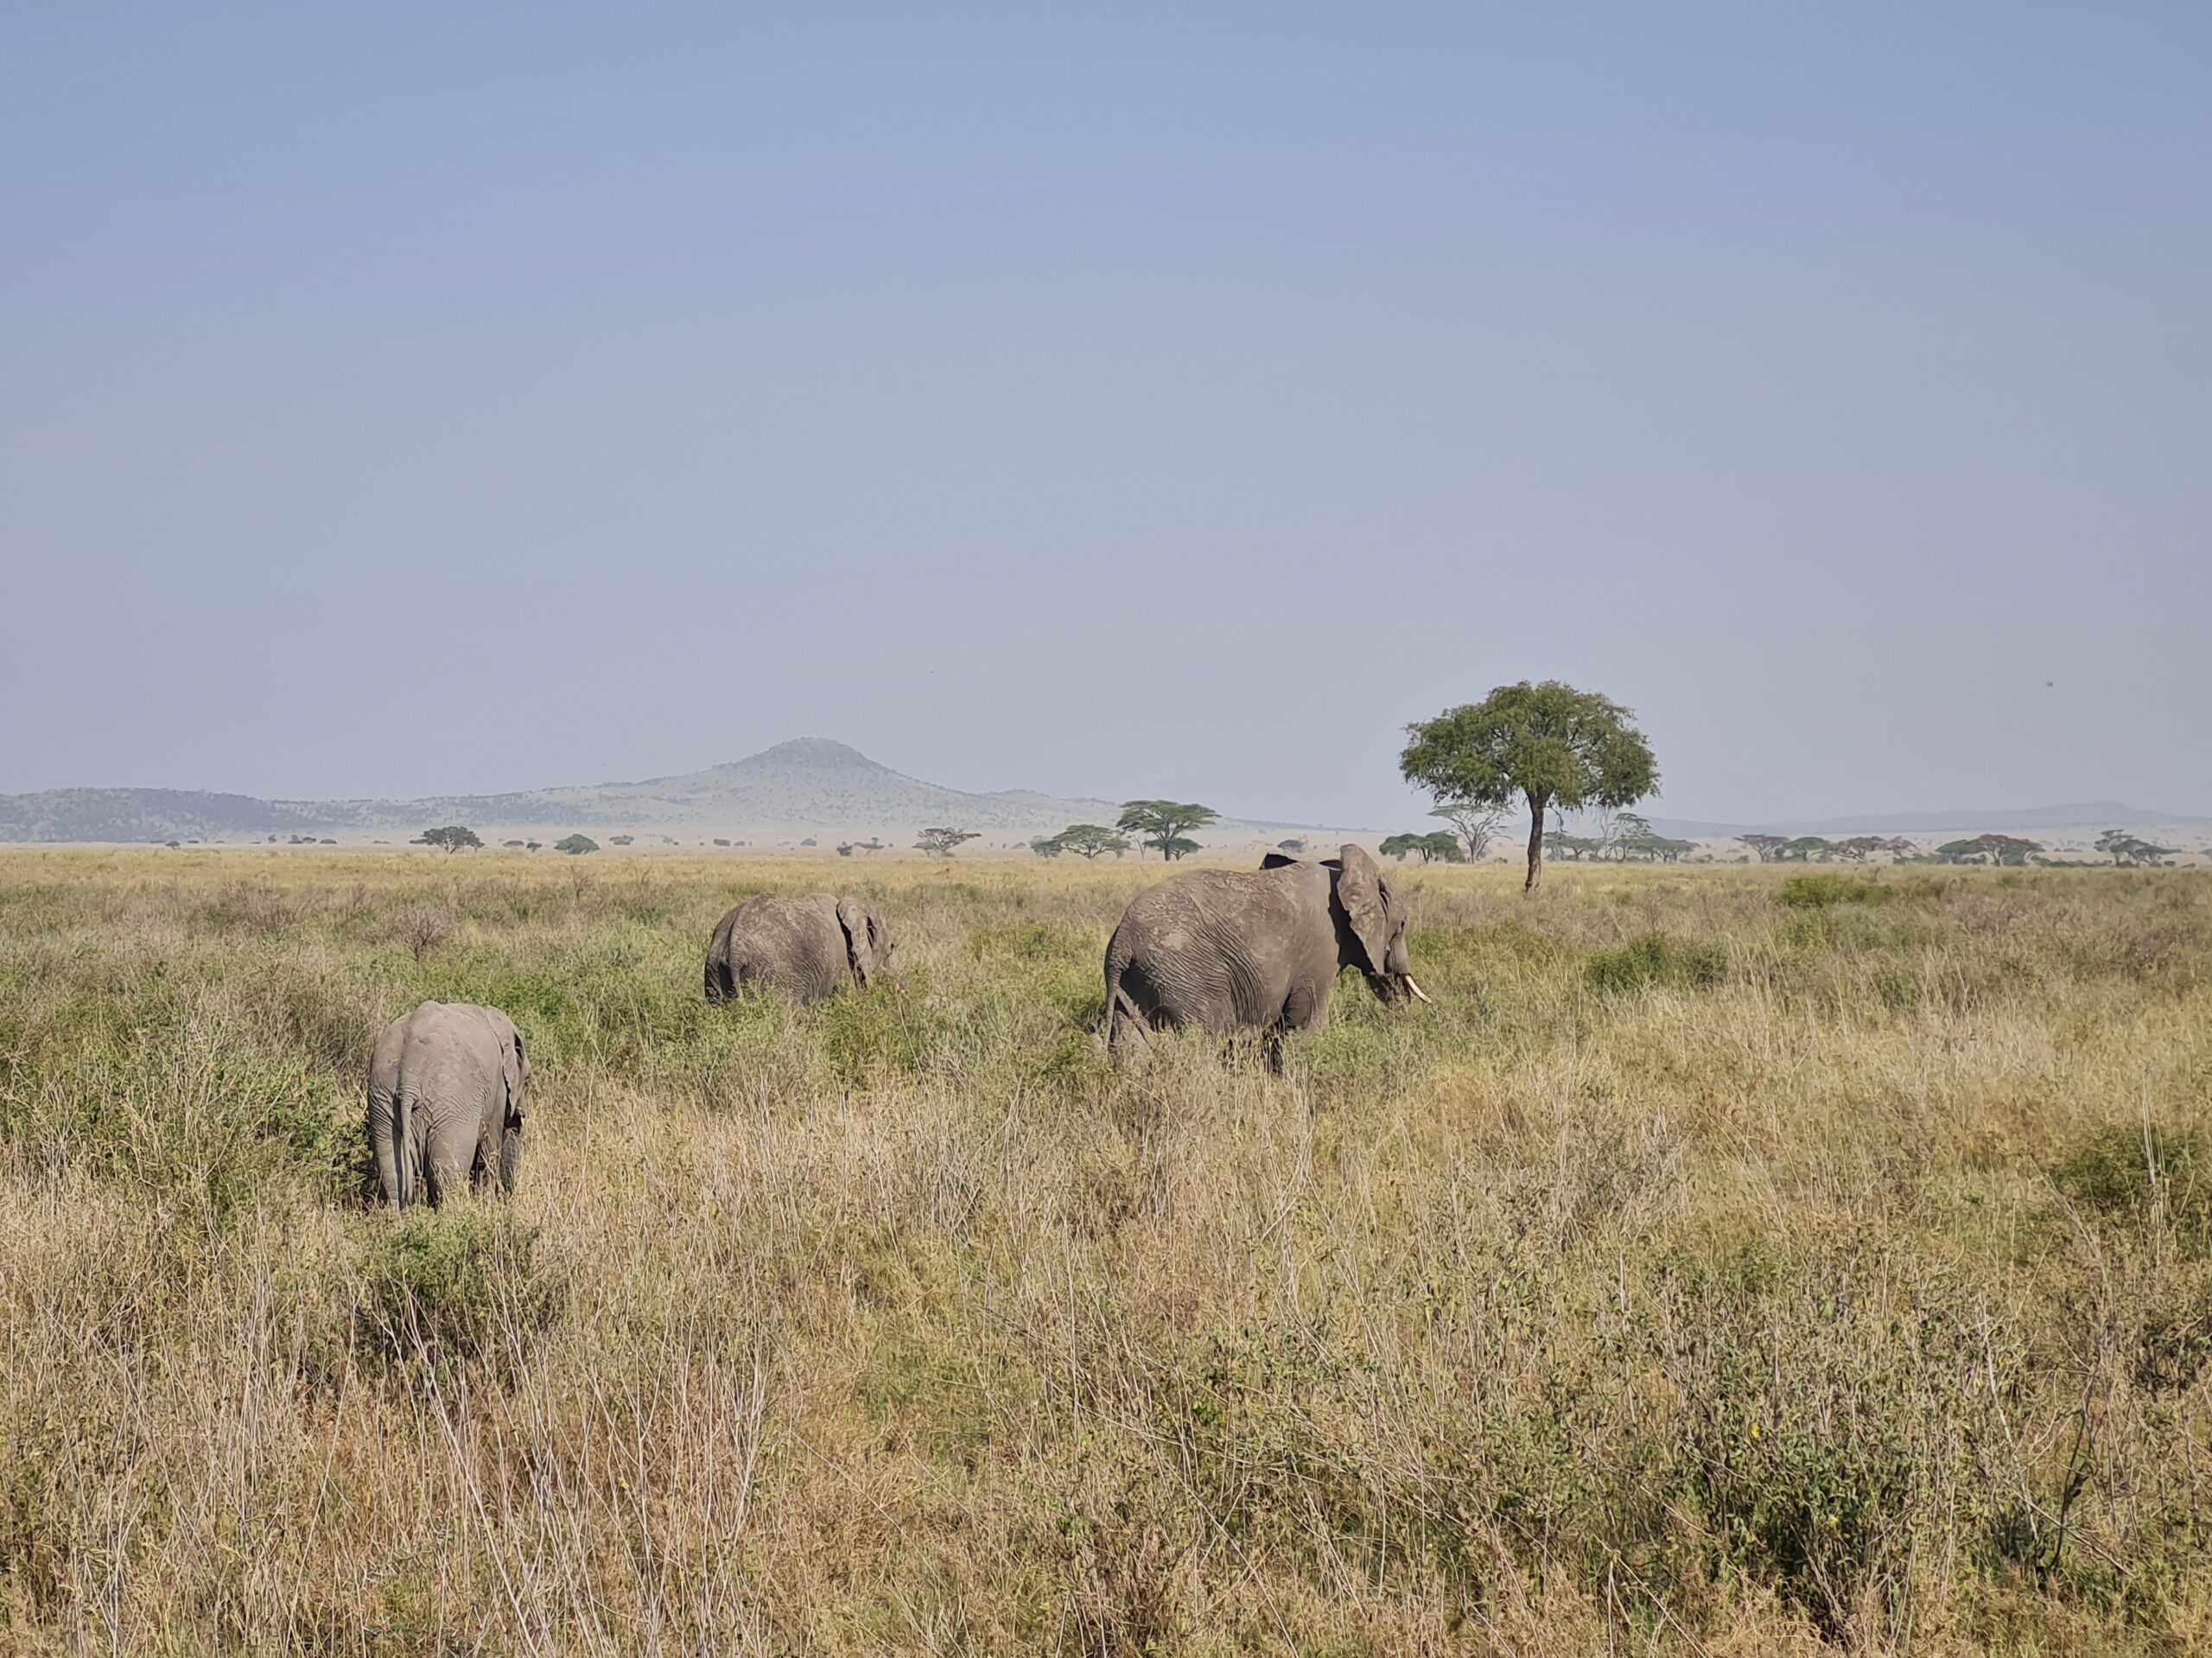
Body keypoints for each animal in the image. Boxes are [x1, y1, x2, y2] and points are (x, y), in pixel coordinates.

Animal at [369, 999, 532, 1211]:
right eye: (527, 1079)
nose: (506, 1200)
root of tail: (408, 1078)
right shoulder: (498, 1093)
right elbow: (489, 1150)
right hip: (452, 1103)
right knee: (445, 1170)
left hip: (383, 1097)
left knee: (392, 1170)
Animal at [1096, 848, 1424, 1057]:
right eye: (1403, 924)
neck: (1343, 871)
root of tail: (1122, 941)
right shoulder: (1323, 947)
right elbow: (1306, 1023)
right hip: (1185, 976)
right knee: (1204, 1040)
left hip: (1137, 979)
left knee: (1132, 1046)